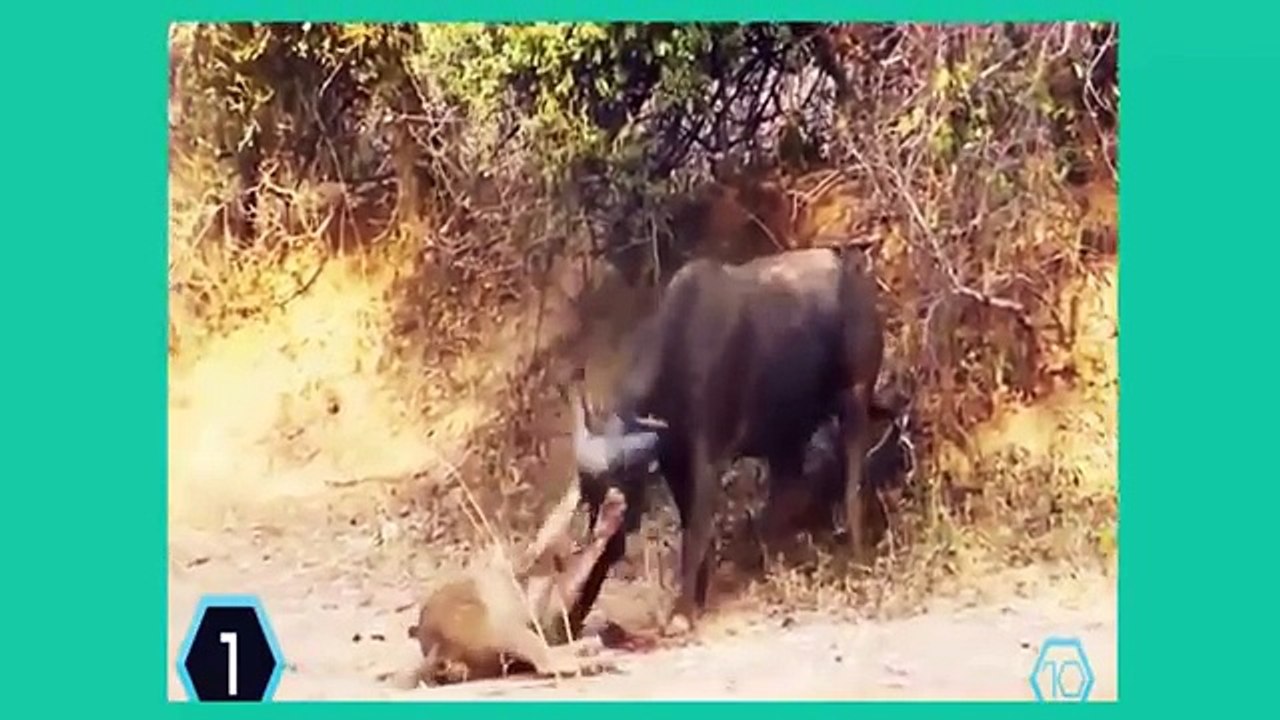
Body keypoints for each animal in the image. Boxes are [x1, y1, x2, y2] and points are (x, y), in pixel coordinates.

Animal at [567, 246, 908, 635]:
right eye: (588, 496)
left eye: (620, 496)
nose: (600, 543)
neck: (680, 351)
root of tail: (858, 283)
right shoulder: (675, 465)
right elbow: (692, 524)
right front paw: (697, 598)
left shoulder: (708, 457)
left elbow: (697, 529)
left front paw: (681, 612)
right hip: (790, 435)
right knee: (790, 493)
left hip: (855, 397)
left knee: (851, 480)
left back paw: (855, 556)